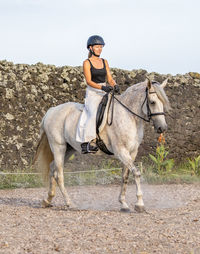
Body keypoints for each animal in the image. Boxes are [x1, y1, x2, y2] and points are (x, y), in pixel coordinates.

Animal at [33, 79, 170, 212]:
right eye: (152, 102)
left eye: (163, 103)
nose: (162, 128)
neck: (129, 116)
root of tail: (51, 111)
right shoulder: (121, 151)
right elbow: (136, 173)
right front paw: (139, 204)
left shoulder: (132, 152)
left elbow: (125, 176)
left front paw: (123, 204)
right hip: (58, 147)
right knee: (59, 174)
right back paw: (70, 203)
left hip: (69, 149)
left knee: (52, 168)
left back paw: (47, 200)